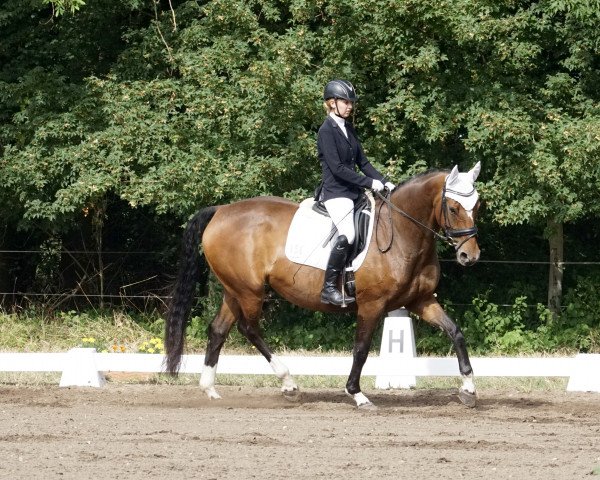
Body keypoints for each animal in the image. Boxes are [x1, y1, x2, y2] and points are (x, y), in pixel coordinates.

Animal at [164, 163, 482, 406]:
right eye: (453, 208)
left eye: (477, 205)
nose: (470, 256)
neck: (403, 232)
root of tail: (221, 210)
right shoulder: (372, 304)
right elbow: (361, 348)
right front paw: (357, 394)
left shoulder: (421, 300)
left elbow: (456, 332)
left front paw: (468, 389)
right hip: (249, 291)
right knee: (249, 328)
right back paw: (288, 383)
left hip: (234, 290)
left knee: (218, 330)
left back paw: (210, 390)